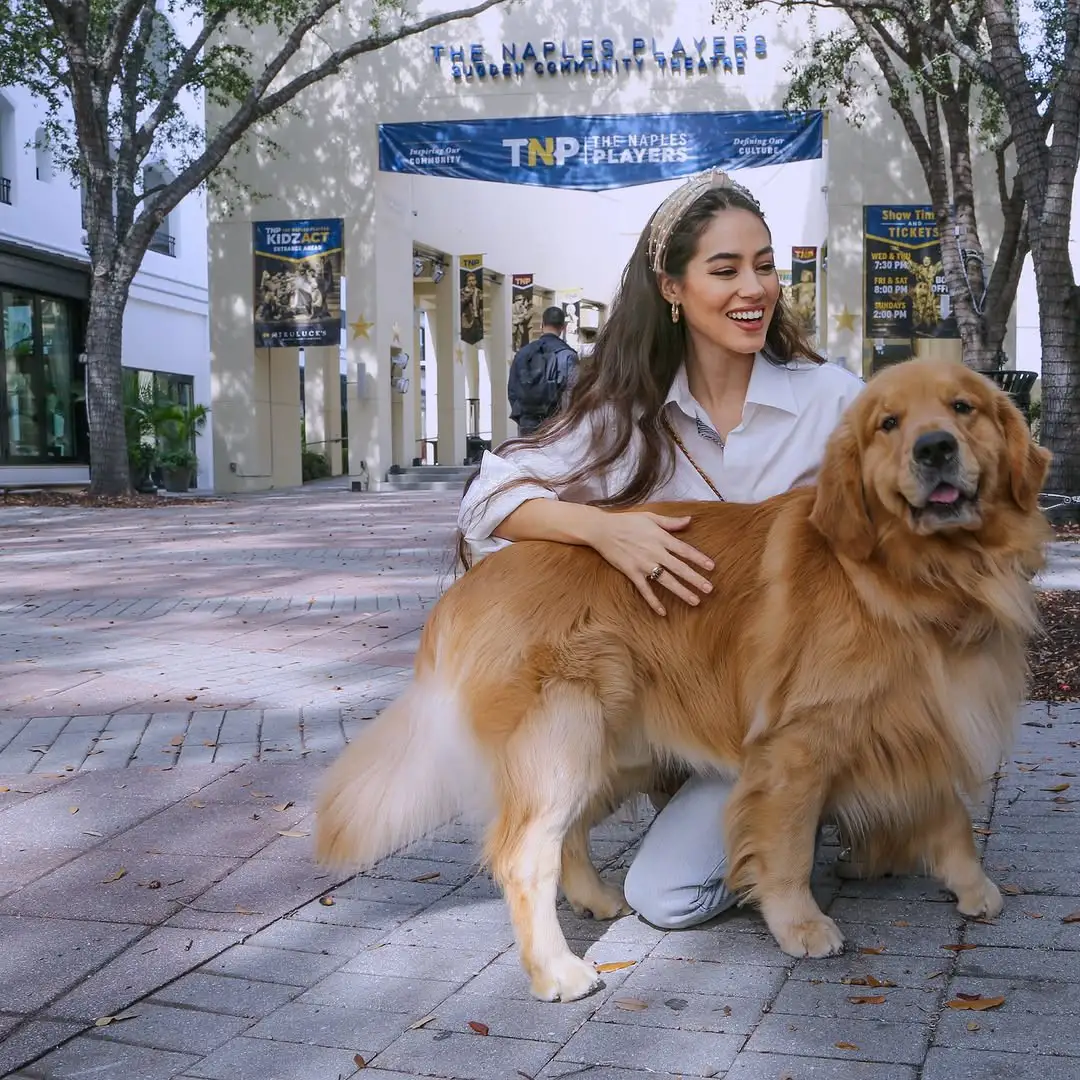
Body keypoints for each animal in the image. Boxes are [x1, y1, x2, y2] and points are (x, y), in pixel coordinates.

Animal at [315, 360, 1049, 1002]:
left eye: (963, 407)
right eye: (888, 423)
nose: (935, 449)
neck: (913, 579)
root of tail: (468, 586)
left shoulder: (927, 716)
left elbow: (951, 816)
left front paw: (972, 886)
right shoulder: (797, 746)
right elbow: (785, 848)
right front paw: (801, 924)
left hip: (613, 748)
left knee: (568, 836)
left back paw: (596, 900)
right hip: (563, 739)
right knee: (525, 853)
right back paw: (558, 971)